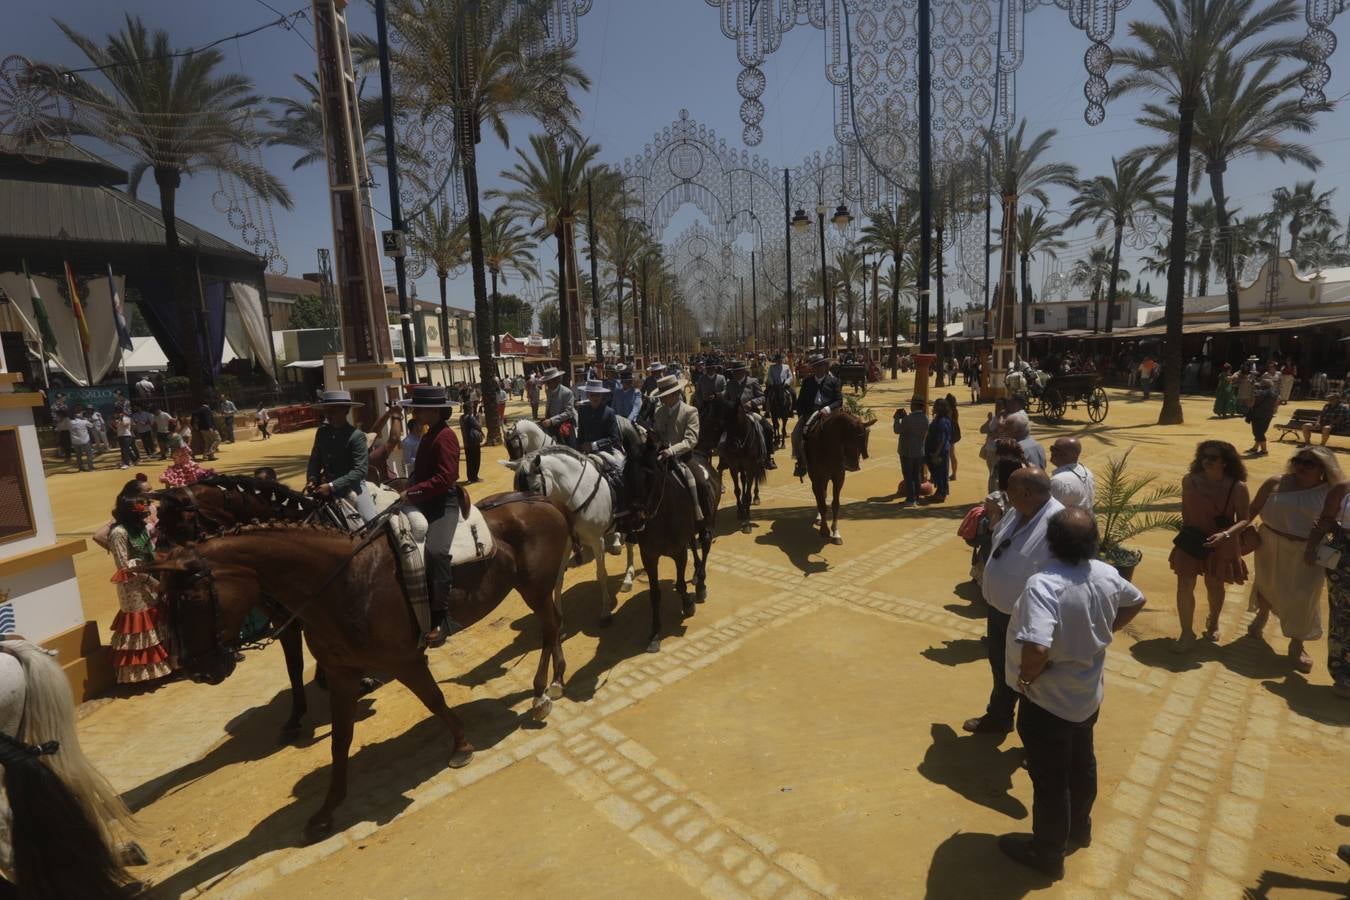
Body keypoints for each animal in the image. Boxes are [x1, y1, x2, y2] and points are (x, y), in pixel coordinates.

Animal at [153, 493, 575, 847]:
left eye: (189, 599)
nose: (197, 670)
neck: (345, 581)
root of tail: (542, 501)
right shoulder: (342, 672)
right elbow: (340, 739)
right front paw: (325, 811)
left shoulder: (404, 660)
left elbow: (435, 700)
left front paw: (461, 746)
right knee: (554, 626)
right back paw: (555, 681)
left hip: (535, 587)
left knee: (550, 627)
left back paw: (542, 693)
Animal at [626, 431, 723, 650]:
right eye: (625, 472)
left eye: (650, 475)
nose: (635, 519)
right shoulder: (649, 556)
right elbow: (655, 594)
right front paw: (655, 633)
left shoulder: (678, 552)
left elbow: (679, 585)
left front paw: (688, 604)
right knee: (694, 546)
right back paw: (695, 574)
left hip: (707, 523)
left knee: (704, 544)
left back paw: (700, 585)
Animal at [702, 402, 766, 534]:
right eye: (725, 425)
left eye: (739, 423)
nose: (732, 446)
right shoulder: (734, 467)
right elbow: (737, 490)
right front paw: (741, 511)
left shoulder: (750, 467)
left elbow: (748, 493)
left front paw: (746, 522)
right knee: (743, 480)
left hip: (756, 465)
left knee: (755, 480)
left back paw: (756, 497)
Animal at [799, 412, 874, 545]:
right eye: (850, 439)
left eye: (863, 440)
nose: (853, 466)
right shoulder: (819, 477)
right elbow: (822, 504)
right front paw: (824, 530)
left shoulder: (839, 478)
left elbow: (835, 504)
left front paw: (835, 533)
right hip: (816, 478)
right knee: (819, 497)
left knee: (822, 495)